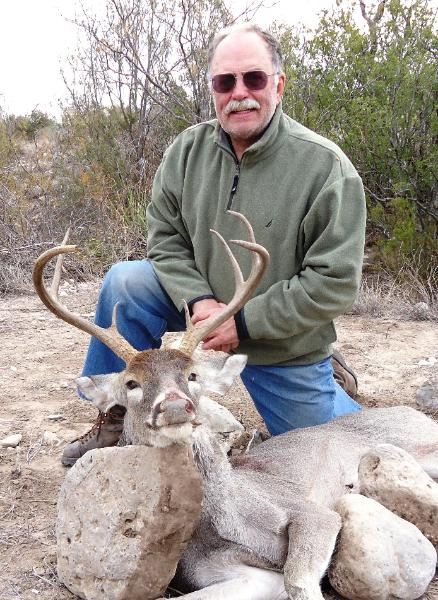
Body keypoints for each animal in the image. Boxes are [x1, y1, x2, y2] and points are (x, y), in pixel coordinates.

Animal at [33, 212, 438, 600]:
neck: (232, 522)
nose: (175, 405)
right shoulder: (231, 572)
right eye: (132, 384)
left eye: (192, 375)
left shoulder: (312, 512)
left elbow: (299, 581)